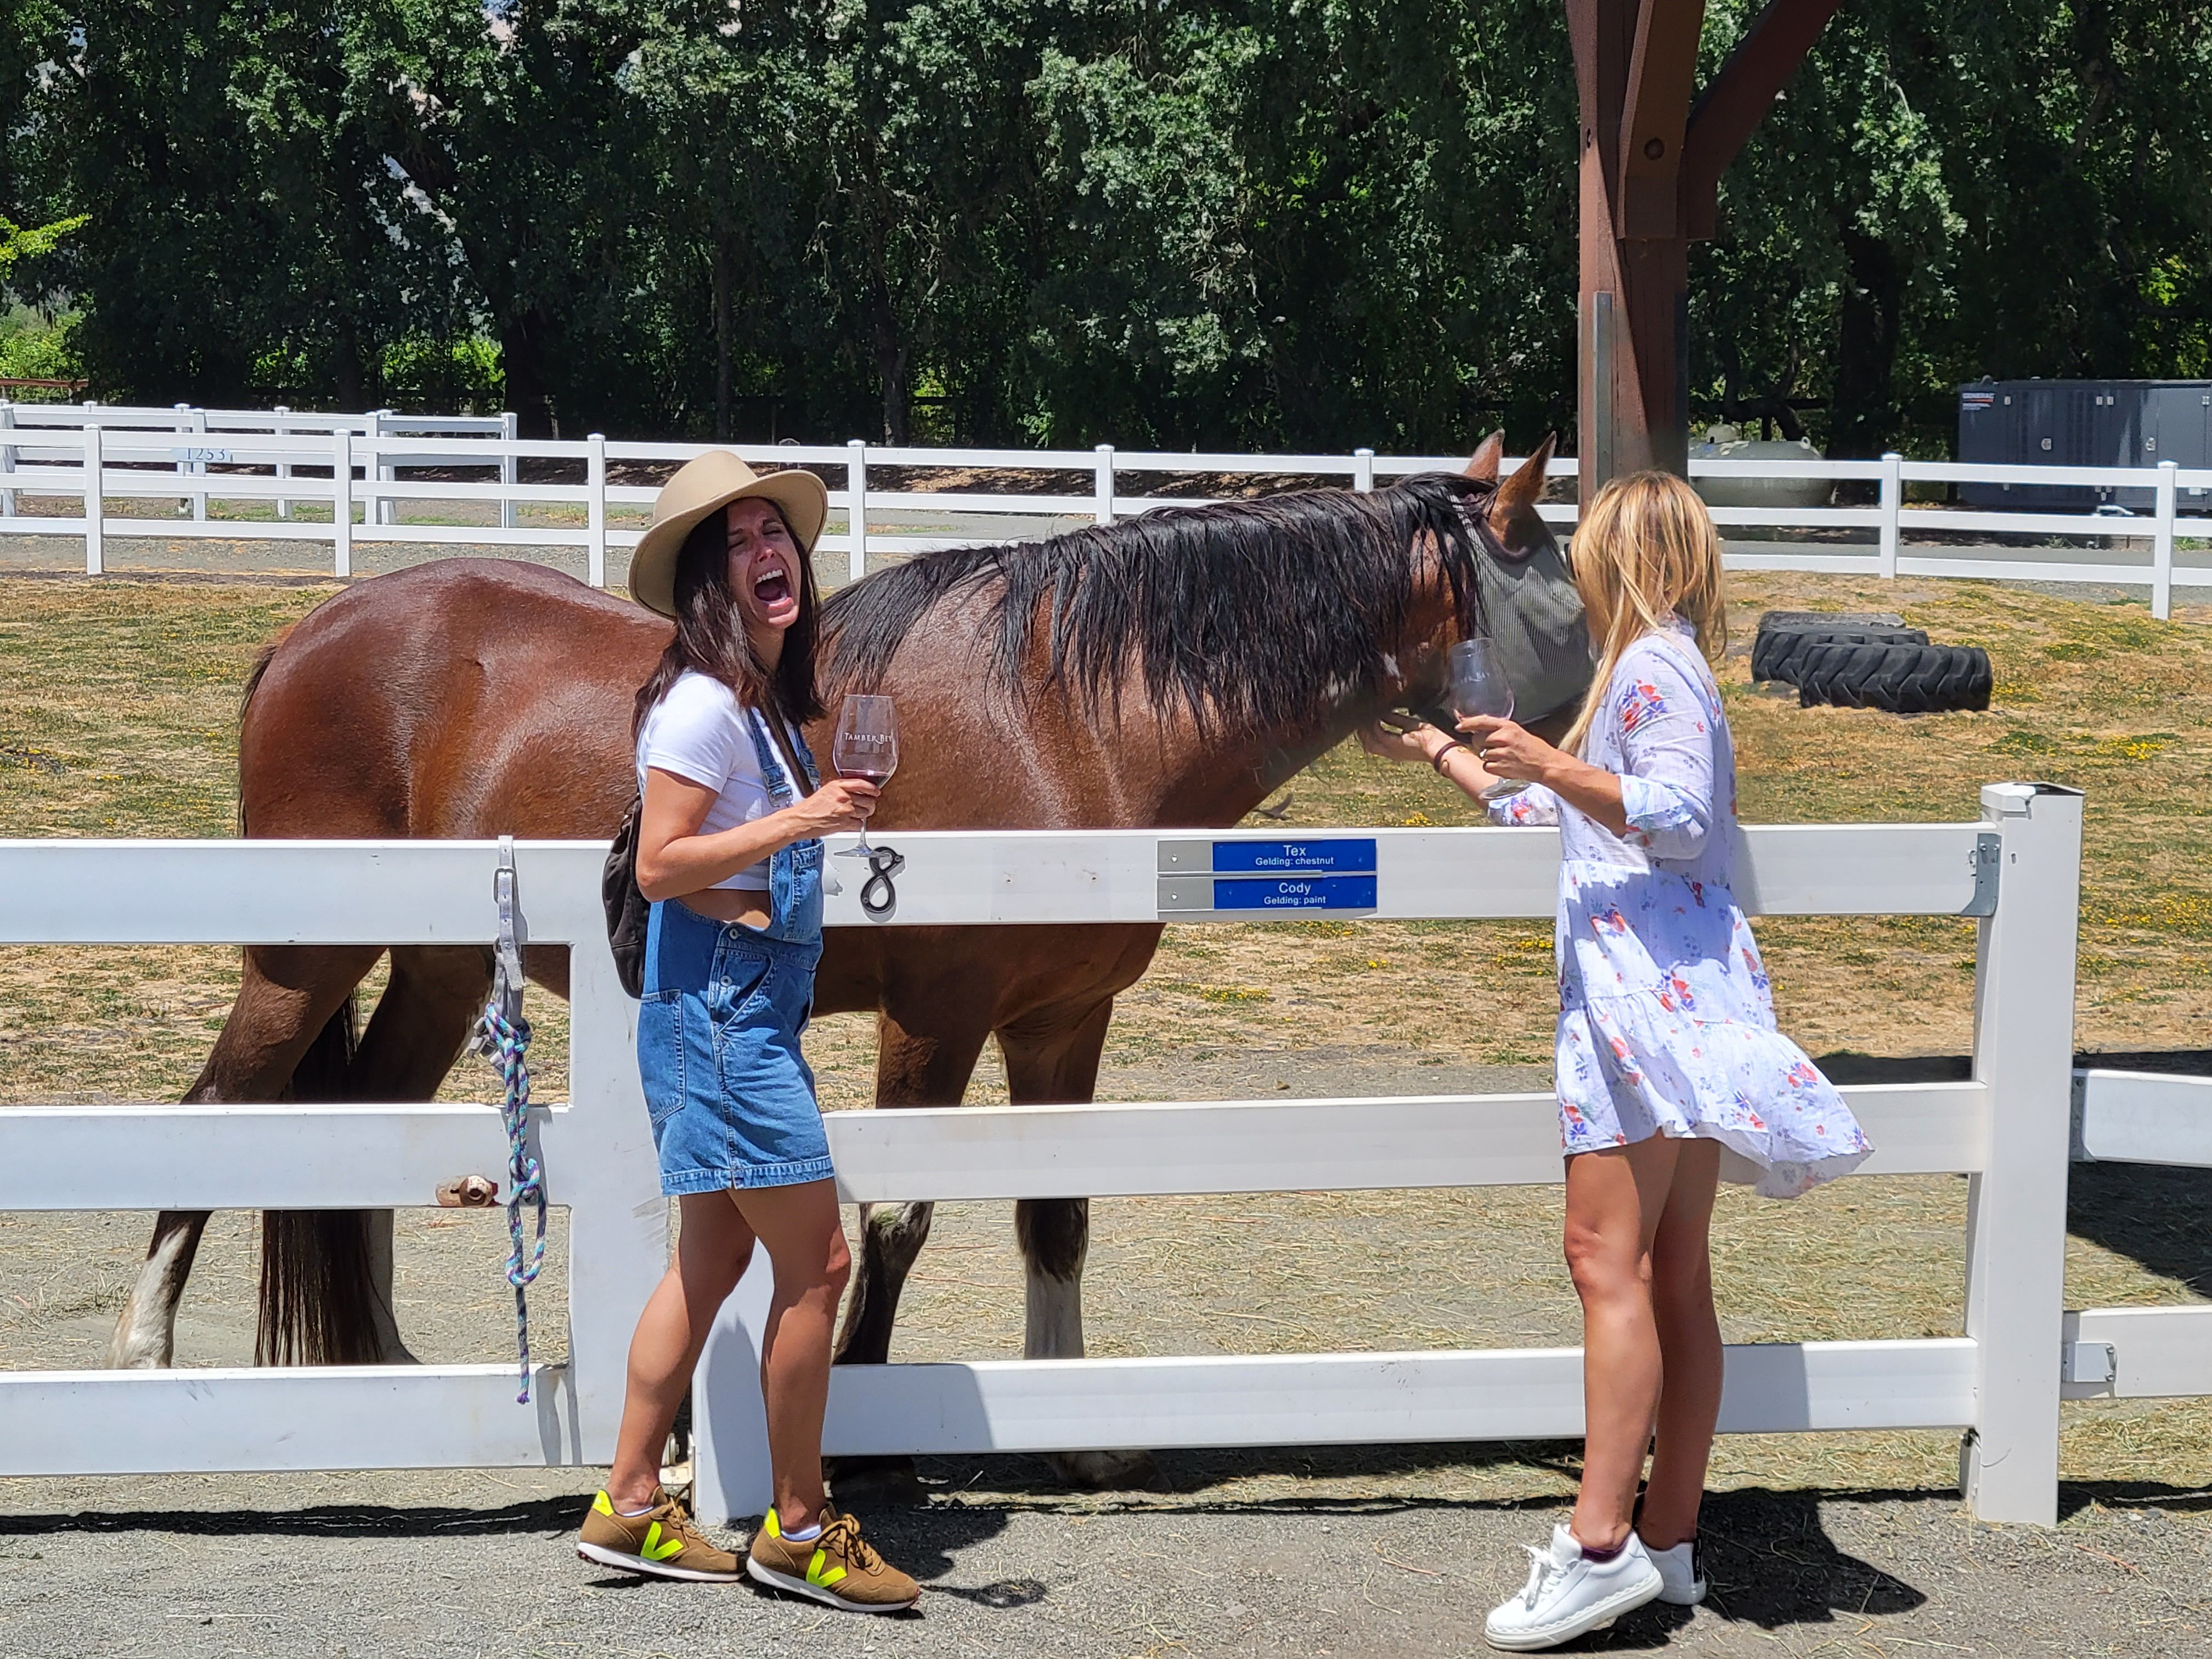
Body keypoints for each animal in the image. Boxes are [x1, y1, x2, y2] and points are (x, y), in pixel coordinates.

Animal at [102, 435, 1579, 1486]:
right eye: (1569, 601)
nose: (1582, 768)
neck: (1064, 713)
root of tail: (308, 633)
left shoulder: (1062, 1023)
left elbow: (1057, 1216)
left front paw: (1078, 1425)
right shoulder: (938, 1016)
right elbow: (901, 1218)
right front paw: (866, 1423)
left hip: (442, 964)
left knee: (362, 1133)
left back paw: (390, 1364)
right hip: (305, 957)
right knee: (222, 1112)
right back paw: (144, 1354)